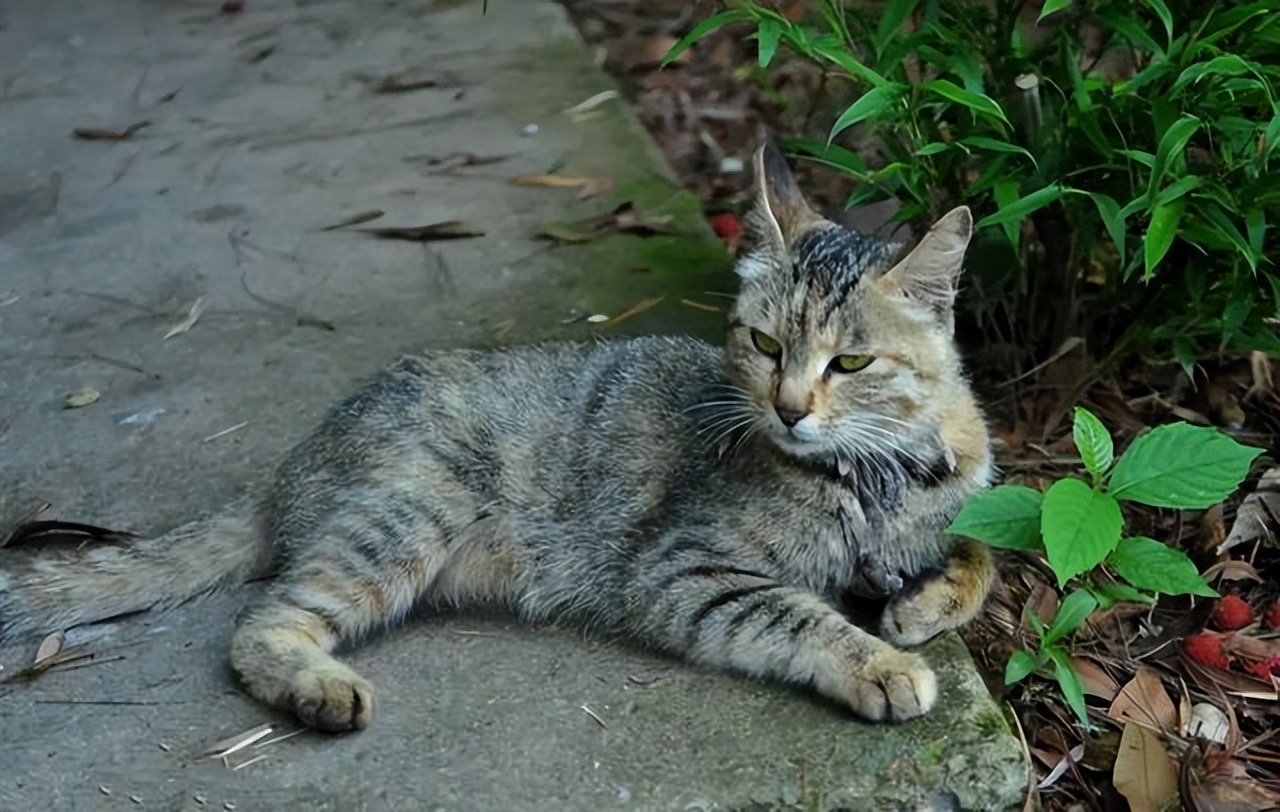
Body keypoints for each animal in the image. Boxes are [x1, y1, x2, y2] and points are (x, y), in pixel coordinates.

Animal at [0, 142, 998, 732]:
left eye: (850, 361)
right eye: (764, 345)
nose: (788, 408)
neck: (874, 476)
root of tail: (291, 463)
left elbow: (983, 551)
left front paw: (921, 602)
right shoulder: (684, 572)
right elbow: (799, 612)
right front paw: (880, 660)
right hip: (406, 519)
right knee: (261, 622)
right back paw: (319, 688)